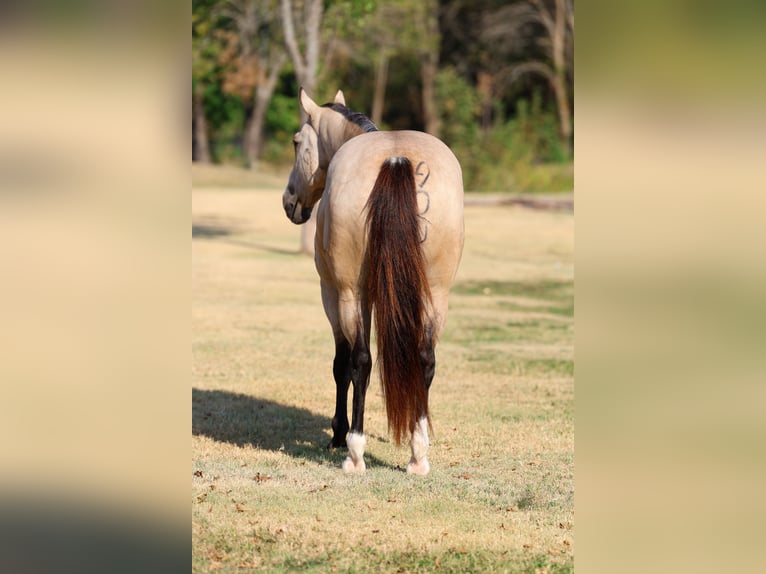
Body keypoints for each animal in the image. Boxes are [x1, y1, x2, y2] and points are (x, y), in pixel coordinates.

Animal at [282, 89, 464, 475]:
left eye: (296, 141)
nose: (289, 201)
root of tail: (395, 160)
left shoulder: (333, 294)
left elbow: (343, 364)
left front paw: (339, 433)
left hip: (350, 294)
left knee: (361, 362)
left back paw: (355, 451)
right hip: (436, 294)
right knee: (425, 359)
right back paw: (418, 453)